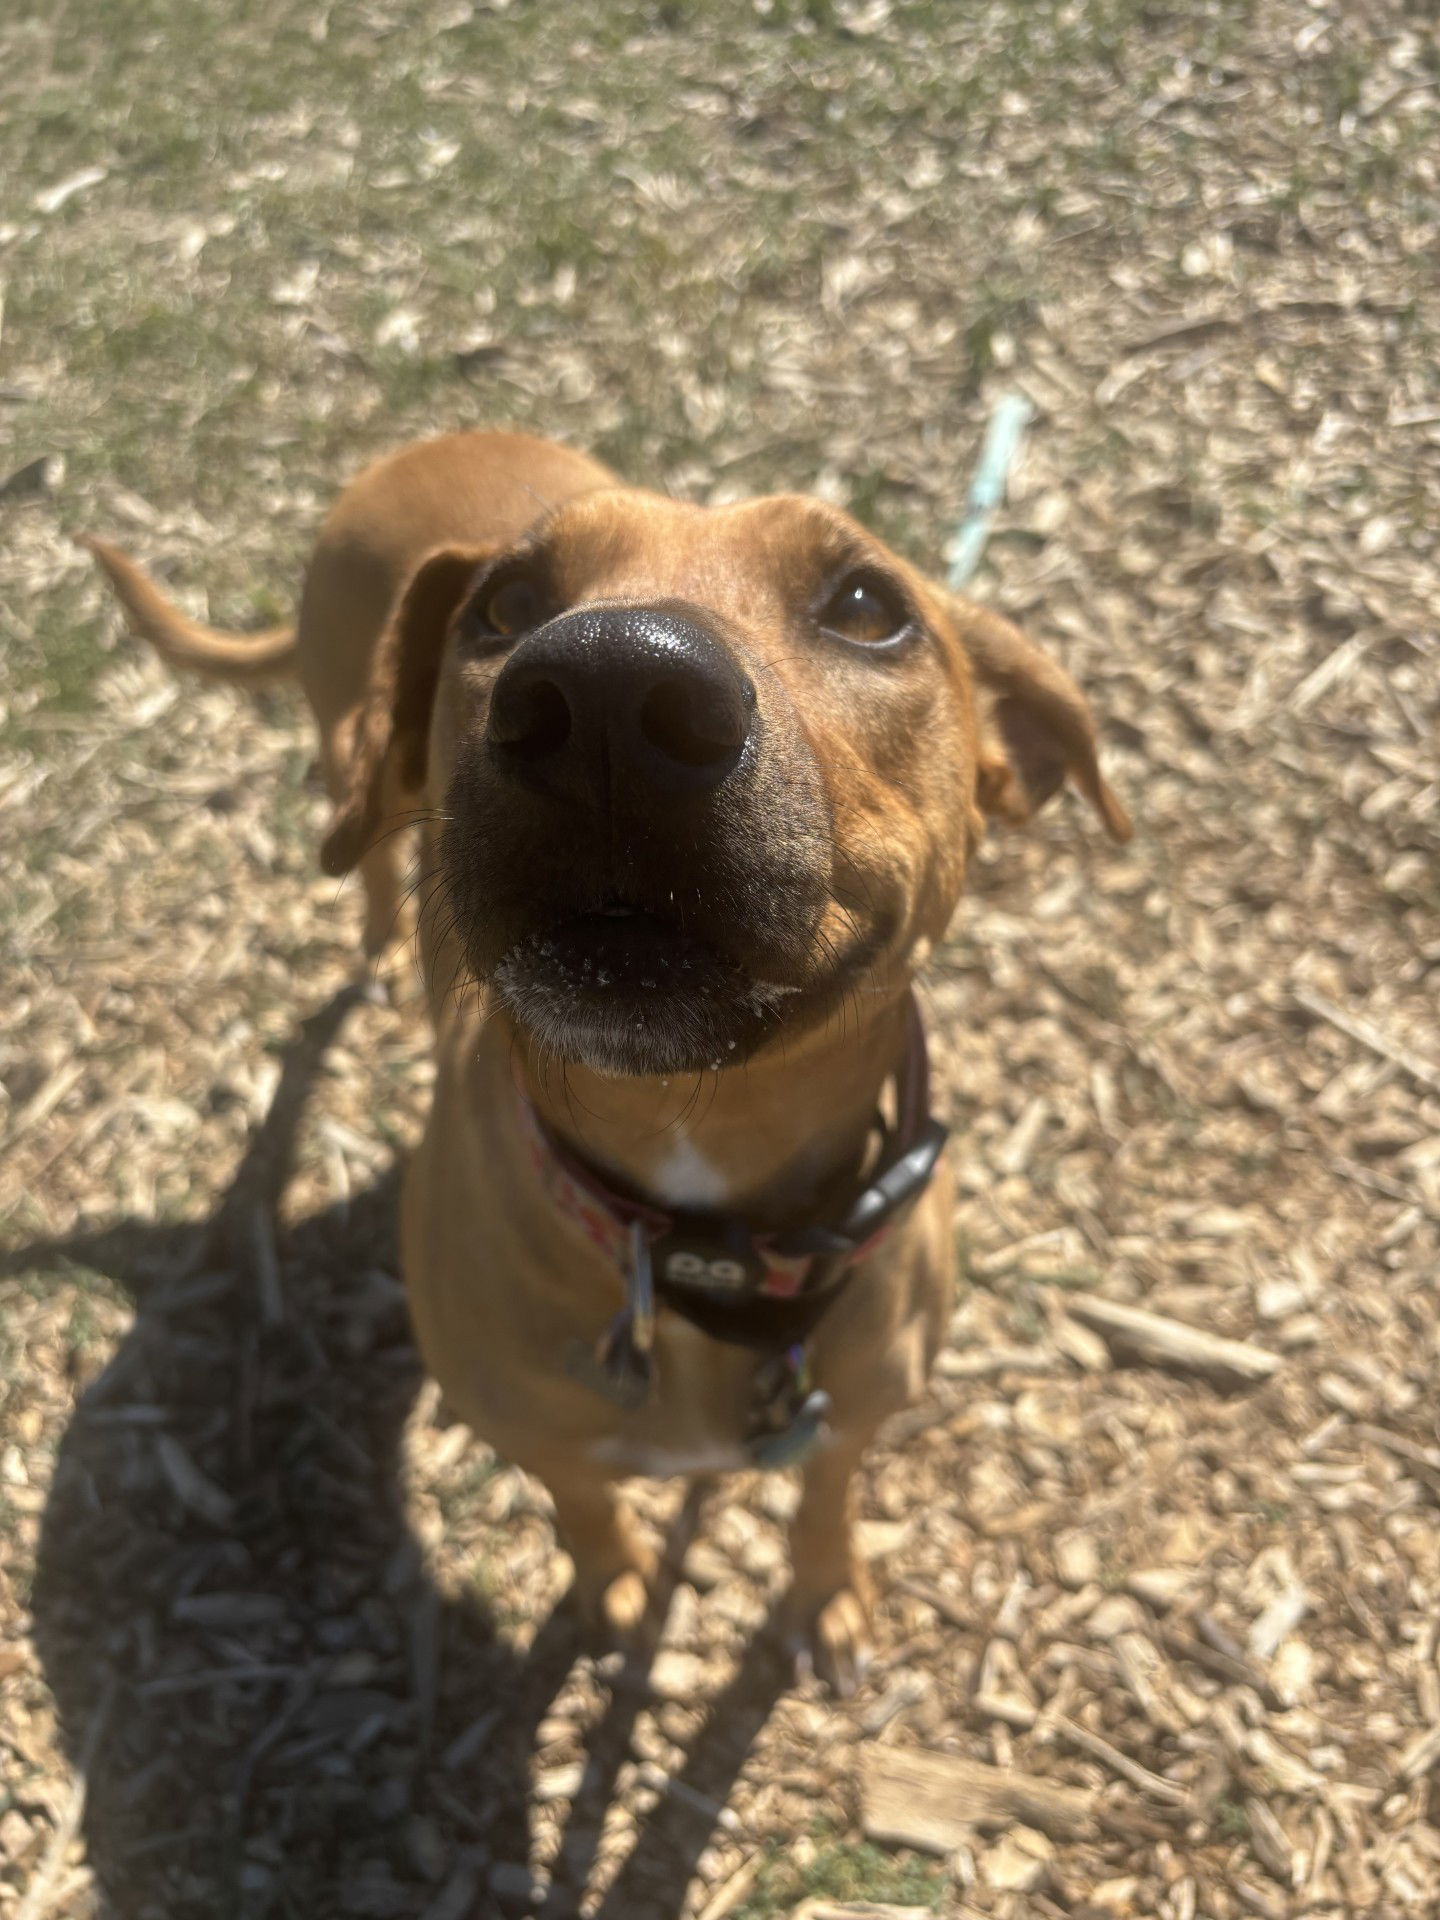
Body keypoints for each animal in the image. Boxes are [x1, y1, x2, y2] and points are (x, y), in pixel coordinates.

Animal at [90, 428, 1136, 1689]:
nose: (606, 688)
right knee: (365, 846)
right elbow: (582, 1500)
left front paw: (827, 1589)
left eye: (867, 606)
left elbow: (827, 1489)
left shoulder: (859, 1402)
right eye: (508, 605)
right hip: (352, 743)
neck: (697, 1215)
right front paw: (617, 1587)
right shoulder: (530, 1424)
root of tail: (423, 444)